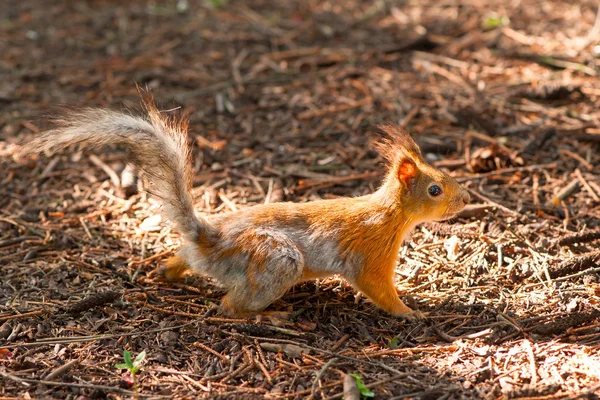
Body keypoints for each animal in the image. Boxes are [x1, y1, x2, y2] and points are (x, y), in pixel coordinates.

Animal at [23, 93, 472, 318]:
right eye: (435, 189)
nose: (466, 199)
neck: (391, 215)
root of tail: (210, 241)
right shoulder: (371, 254)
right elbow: (379, 289)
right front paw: (411, 312)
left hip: (207, 257)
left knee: (178, 260)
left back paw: (165, 272)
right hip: (276, 261)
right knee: (228, 307)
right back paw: (267, 316)